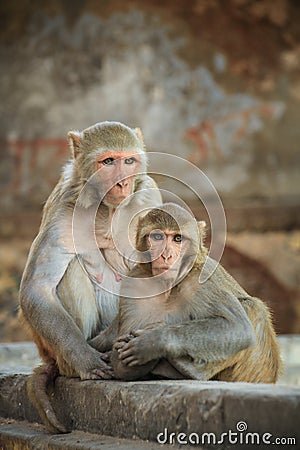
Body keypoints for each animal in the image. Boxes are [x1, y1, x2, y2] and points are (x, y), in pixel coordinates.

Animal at [18, 120, 162, 432]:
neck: (106, 210)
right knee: (69, 270)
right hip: (54, 349)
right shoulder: (63, 208)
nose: (122, 183)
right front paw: (86, 360)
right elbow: (37, 289)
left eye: (128, 161)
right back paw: (74, 365)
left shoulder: (148, 195)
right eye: (108, 162)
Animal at [90, 204, 282, 384]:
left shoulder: (201, 281)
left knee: (253, 307)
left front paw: (153, 341)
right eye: (158, 237)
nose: (166, 255)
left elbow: (238, 328)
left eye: (178, 238)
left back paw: (189, 370)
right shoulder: (134, 283)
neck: (168, 286)